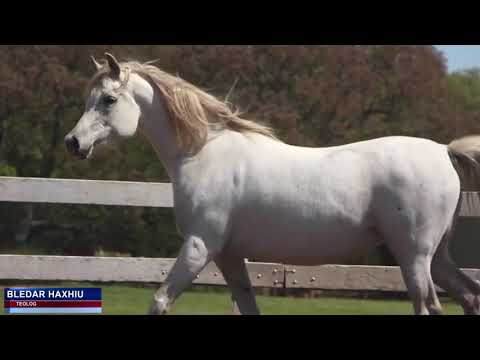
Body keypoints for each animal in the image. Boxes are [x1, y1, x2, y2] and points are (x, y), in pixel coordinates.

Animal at [65, 53, 480, 316]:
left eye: (108, 99)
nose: (73, 143)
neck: (203, 154)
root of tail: (444, 151)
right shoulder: (229, 256)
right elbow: (250, 307)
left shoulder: (200, 246)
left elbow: (160, 301)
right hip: (435, 257)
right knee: (469, 296)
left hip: (413, 256)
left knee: (430, 306)